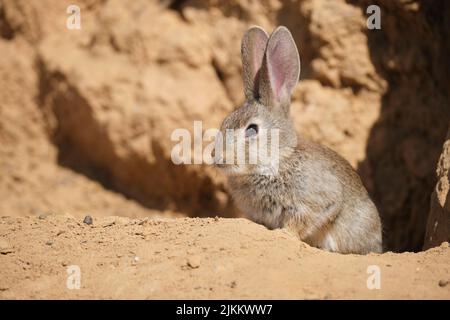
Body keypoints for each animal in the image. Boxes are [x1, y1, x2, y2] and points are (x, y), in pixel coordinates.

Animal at [213, 25, 382, 255]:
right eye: (225, 122)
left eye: (252, 129)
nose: (217, 158)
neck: (279, 158)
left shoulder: (316, 201)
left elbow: (301, 221)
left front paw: (283, 234)